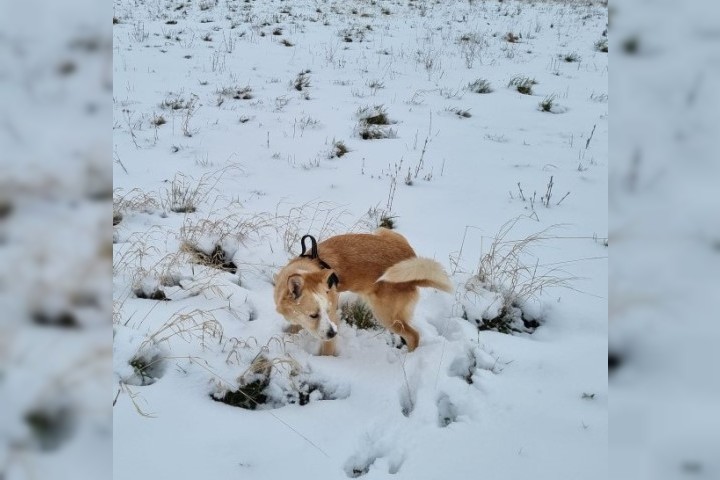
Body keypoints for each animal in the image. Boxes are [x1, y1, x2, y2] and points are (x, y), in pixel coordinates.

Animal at [272, 229, 452, 356]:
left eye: (327, 311)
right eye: (313, 315)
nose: (333, 333)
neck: (305, 267)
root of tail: (410, 258)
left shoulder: (332, 319)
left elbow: (327, 350)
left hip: (386, 316)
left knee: (414, 336)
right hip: (386, 231)